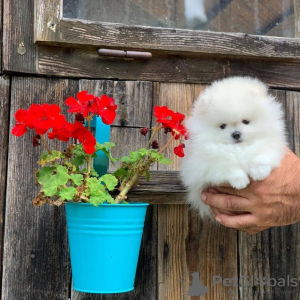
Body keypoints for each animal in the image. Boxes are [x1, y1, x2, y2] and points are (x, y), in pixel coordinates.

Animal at [180, 77, 286, 218]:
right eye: (222, 126)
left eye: (246, 121)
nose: (236, 134)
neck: (239, 148)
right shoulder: (208, 164)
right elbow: (229, 167)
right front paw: (240, 181)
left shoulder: (270, 143)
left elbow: (261, 155)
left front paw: (259, 173)